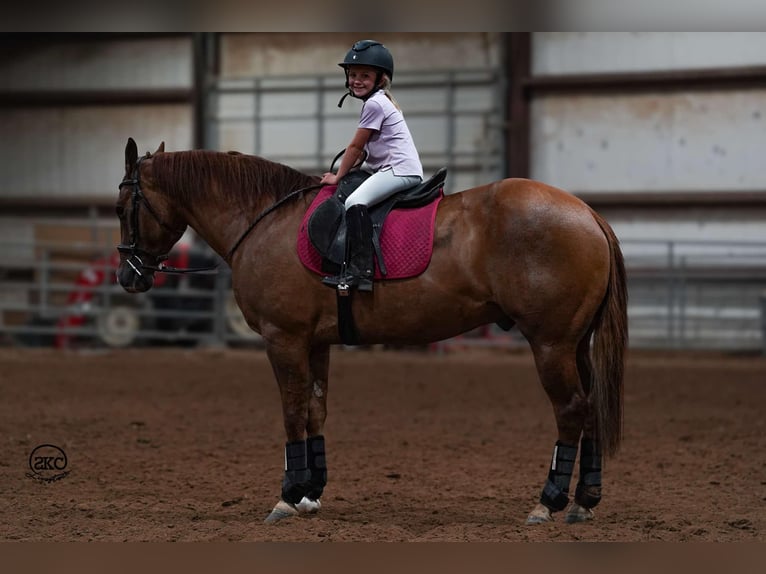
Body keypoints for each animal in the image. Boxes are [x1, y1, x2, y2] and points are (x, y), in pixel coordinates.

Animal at [115, 138, 632, 528]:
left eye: (123, 207)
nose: (127, 276)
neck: (265, 219)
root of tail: (587, 214)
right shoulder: (315, 342)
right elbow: (315, 411)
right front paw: (311, 491)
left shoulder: (284, 339)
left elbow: (291, 412)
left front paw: (288, 494)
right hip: (574, 346)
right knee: (590, 410)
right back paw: (585, 499)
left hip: (551, 345)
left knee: (571, 410)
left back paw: (549, 501)